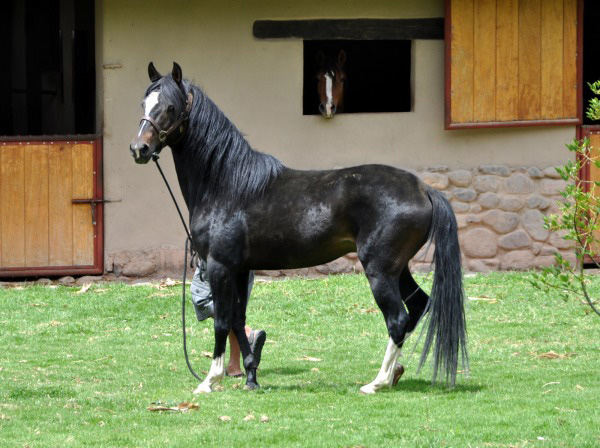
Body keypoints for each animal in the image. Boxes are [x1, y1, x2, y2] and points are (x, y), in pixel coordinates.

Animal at [130, 64, 468, 396]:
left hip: (380, 271)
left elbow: (222, 322)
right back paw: (395, 372)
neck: (227, 186)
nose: (139, 148)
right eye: (144, 104)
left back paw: (377, 382)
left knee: (397, 319)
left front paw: (209, 381)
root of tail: (423, 189)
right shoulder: (239, 269)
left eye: (170, 107)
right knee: (419, 306)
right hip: (399, 269)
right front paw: (251, 376)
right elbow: (238, 319)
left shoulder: (220, 267)